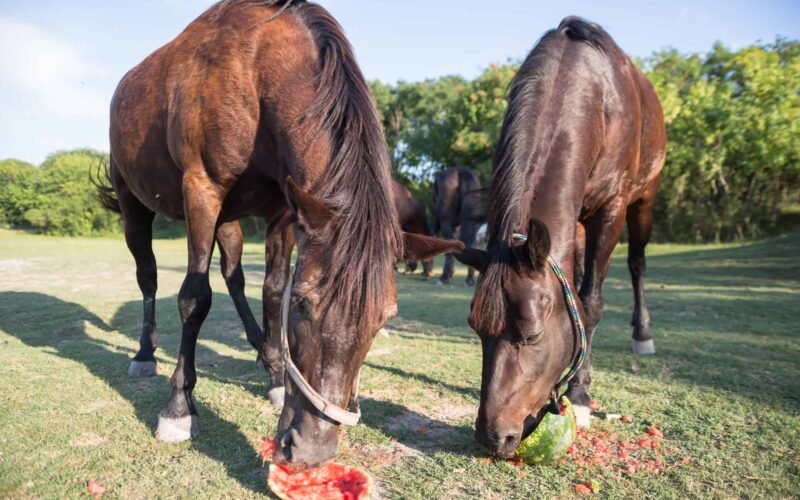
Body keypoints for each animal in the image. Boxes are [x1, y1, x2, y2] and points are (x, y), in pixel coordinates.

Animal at [101, 0, 462, 469]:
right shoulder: (202, 190)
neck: (256, 69)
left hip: (229, 221)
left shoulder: (285, 212)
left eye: (386, 318)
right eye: (304, 305)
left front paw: (275, 372)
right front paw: (178, 407)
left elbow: (271, 289)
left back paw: (261, 350)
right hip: (135, 205)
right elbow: (195, 297)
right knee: (148, 275)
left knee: (234, 276)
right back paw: (146, 354)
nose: (310, 448)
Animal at [455, 17, 665, 458]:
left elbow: (592, 304)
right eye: (476, 329)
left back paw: (642, 334)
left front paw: (581, 397)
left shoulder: (611, 210)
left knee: (637, 263)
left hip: (644, 201)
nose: (492, 437)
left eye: (532, 334)